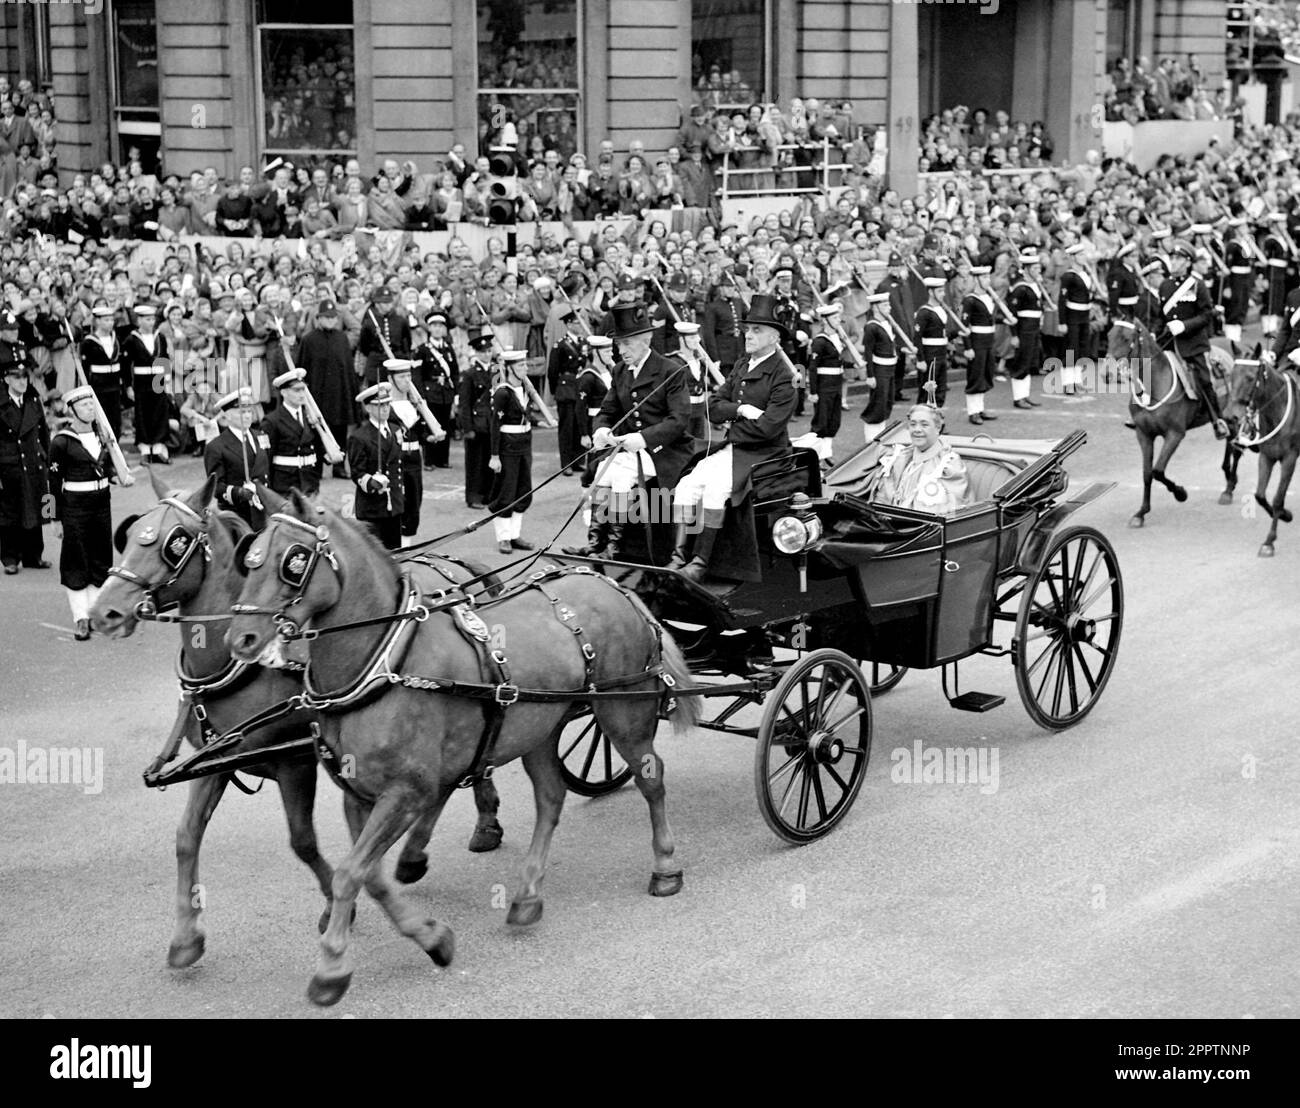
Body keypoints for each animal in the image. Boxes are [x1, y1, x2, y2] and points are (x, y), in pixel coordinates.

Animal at [90, 470, 501, 972]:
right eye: (129, 535)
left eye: (175, 540)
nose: (103, 613)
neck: (241, 665)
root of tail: (457, 562)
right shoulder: (215, 758)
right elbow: (187, 836)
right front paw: (187, 938)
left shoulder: (295, 762)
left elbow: (302, 841)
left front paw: (335, 905)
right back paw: (419, 852)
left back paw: (481, 824)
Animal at [227, 488, 696, 1009]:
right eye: (248, 559)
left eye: (293, 560)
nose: (240, 639)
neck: (385, 663)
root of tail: (616, 586)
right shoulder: (359, 794)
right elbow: (370, 875)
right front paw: (432, 937)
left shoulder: (405, 792)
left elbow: (351, 874)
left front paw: (331, 968)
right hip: (539, 726)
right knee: (551, 798)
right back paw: (527, 895)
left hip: (623, 713)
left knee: (651, 780)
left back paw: (665, 865)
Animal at [1107, 319, 1237, 527]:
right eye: (1109, 336)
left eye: (1127, 338)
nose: (1108, 372)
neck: (1154, 384)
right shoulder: (1144, 435)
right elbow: (1147, 474)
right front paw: (1141, 513)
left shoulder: (1175, 434)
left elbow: (1158, 471)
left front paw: (1180, 493)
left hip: (1230, 414)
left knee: (1235, 441)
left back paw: (1229, 488)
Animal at [1222, 358, 1294, 559]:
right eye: (1231, 375)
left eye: (1249, 377)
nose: (1229, 416)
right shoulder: (1266, 457)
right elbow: (1260, 495)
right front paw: (1285, 515)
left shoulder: (1289, 458)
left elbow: (1277, 498)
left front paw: (1269, 541)